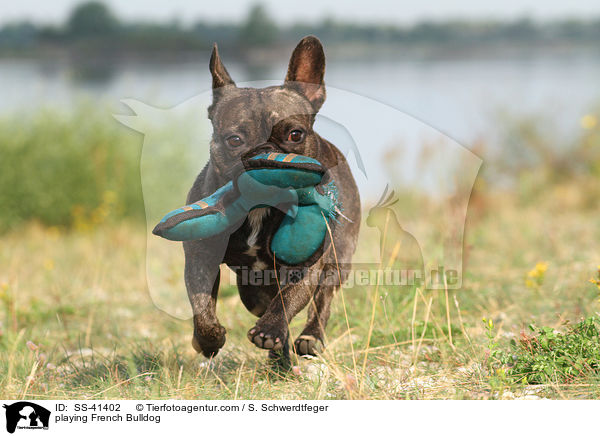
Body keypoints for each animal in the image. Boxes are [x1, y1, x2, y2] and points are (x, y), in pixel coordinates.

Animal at [185, 35, 358, 366]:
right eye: (234, 140)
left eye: (295, 134)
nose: (263, 155)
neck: (259, 210)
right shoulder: (201, 257)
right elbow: (201, 307)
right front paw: (208, 340)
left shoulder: (308, 265)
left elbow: (289, 298)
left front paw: (271, 330)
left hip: (339, 258)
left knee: (322, 300)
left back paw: (307, 339)